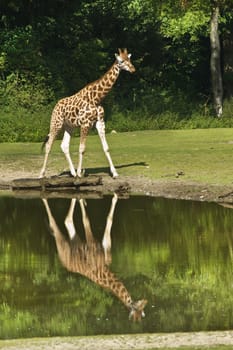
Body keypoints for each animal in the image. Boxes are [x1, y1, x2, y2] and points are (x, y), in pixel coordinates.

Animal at [39, 48, 136, 179]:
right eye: (121, 61)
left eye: (129, 59)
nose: (133, 69)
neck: (97, 98)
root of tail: (56, 106)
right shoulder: (85, 123)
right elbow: (82, 148)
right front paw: (81, 173)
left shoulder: (100, 122)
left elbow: (106, 147)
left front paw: (115, 173)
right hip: (56, 123)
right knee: (49, 145)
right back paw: (42, 174)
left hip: (69, 126)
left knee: (64, 145)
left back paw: (73, 172)